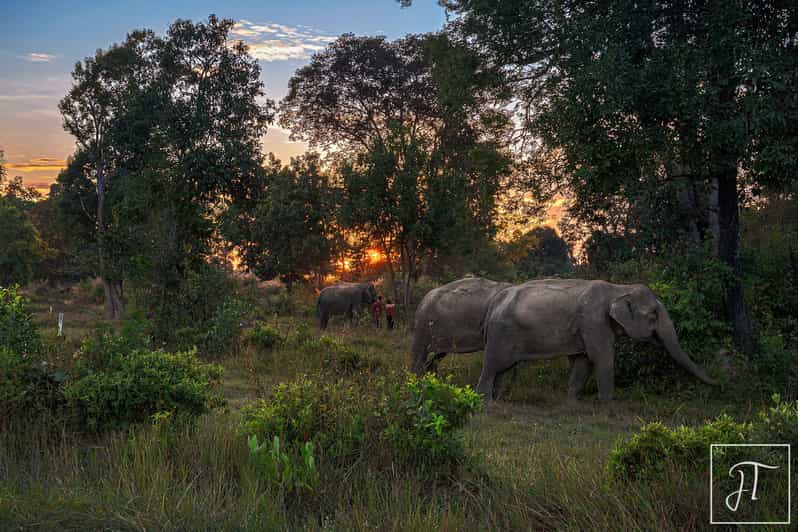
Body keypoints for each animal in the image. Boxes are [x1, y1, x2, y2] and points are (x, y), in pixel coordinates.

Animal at [476, 280, 720, 402]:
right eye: (653, 314)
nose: (720, 383)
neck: (619, 288)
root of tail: (493, 303)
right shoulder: (594, 322)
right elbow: (602, 357)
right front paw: (607, 406)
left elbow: (583, 362)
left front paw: (573, 403)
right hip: (501, 333)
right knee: (493, 365)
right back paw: (484, 401)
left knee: (503, 369)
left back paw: (497, 399)